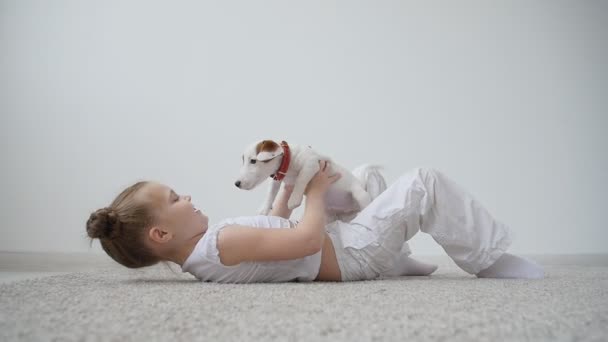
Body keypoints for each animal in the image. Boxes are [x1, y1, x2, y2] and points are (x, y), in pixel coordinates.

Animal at [234, 139, 382, 219]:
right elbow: (271, 192)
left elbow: (301, 178)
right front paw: (264, 208)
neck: (288, 161)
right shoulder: (278, 177)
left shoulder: (311, 163)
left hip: (360, 195)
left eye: (253, 161)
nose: (236, 183)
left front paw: (294, 199)